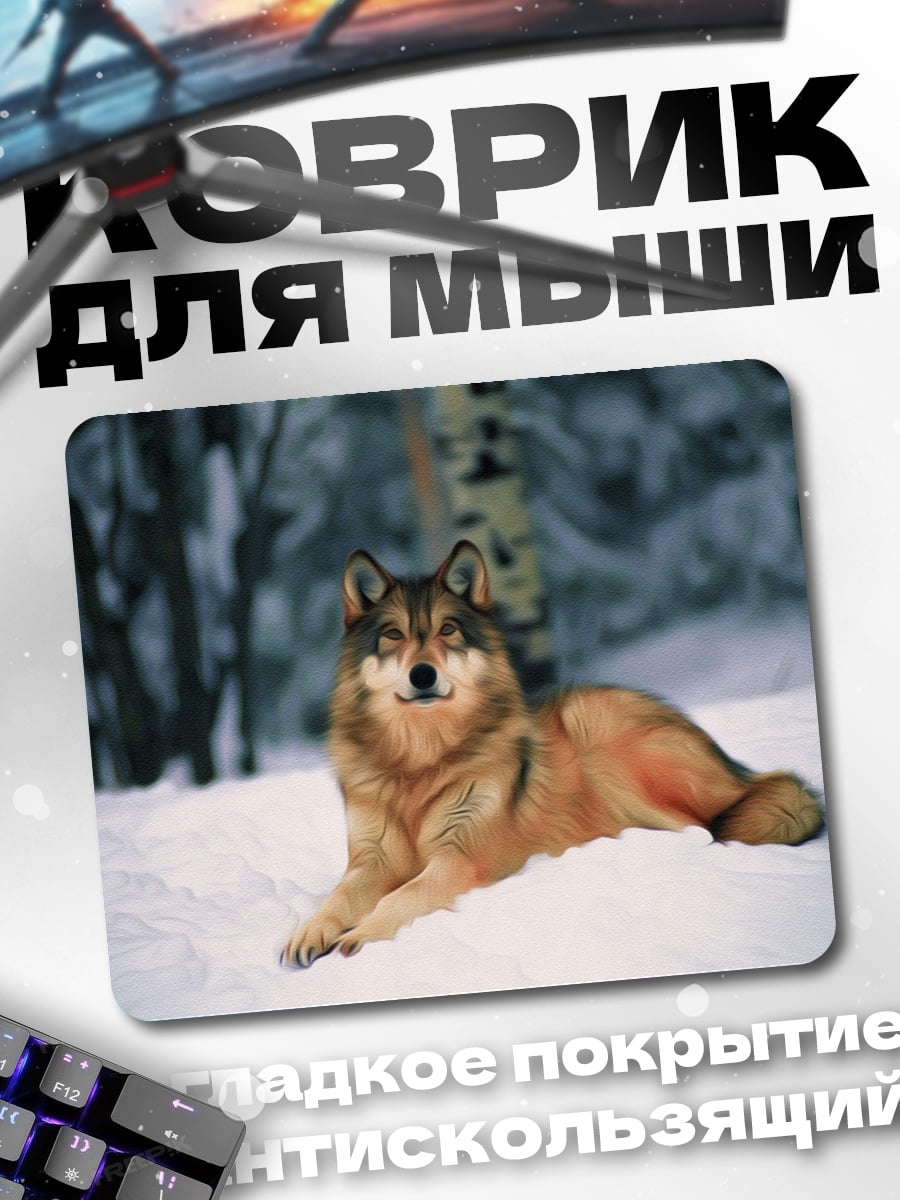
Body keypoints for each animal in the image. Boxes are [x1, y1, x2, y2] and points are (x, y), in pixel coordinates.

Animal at [281, 540, 823, 966]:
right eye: (393, 635)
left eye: (447, 630)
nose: (422, 674)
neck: (420, 759)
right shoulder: (370, 861)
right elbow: (337, 897)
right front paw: (309, 932)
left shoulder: (460, 858)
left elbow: (402, 896)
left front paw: (362, 933)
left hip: (604, 740)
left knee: (704, 827)